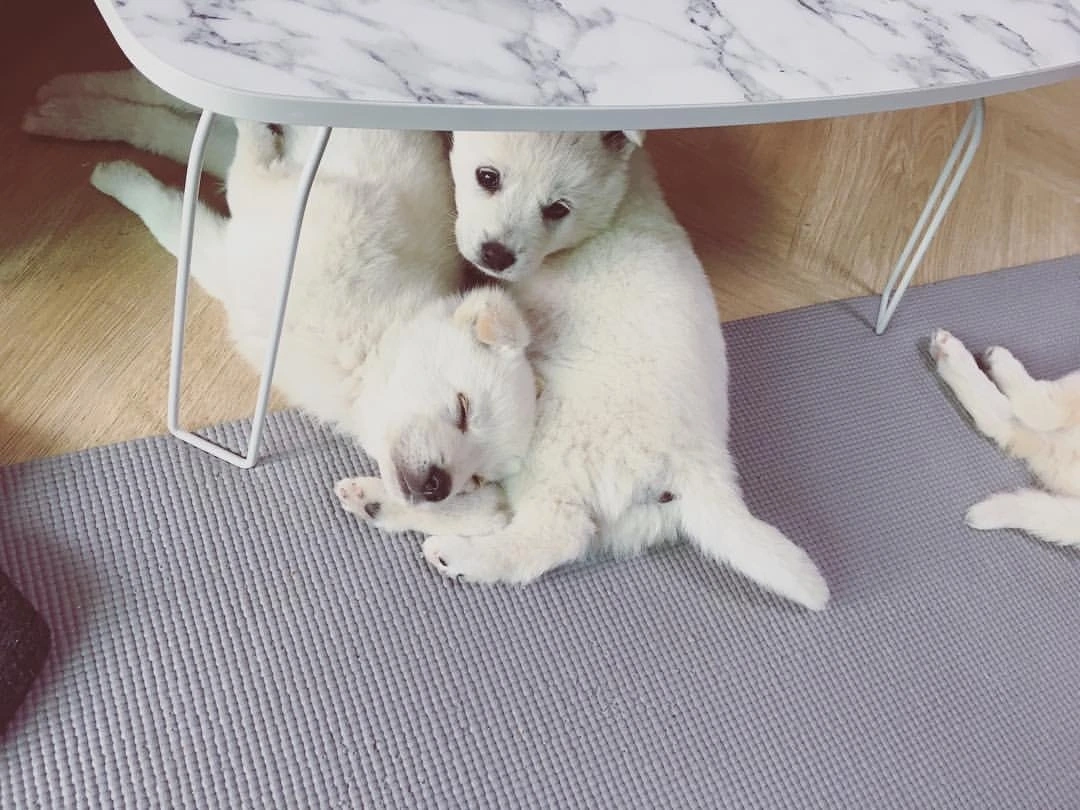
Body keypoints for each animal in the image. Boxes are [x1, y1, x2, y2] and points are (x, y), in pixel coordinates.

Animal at [24, 71, 537, 533]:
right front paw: (128, 177)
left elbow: (171, 215)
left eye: (476, 480)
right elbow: (232, 167)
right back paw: (74, 99)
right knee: (170, 101)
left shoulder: (229, 255)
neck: (367, 347)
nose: (437, 486)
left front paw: (123, 178)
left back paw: (70, 112)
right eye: (463, 409)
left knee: (173, 128)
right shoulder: (279, 202)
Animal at [336, 129, 830, 610]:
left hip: (553, 442)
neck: (621, 200)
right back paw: (375, 502)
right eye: (487, 177)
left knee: (549, 530)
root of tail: (700, 466)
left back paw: (457, 555)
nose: (496, 255)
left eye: (557, 209)